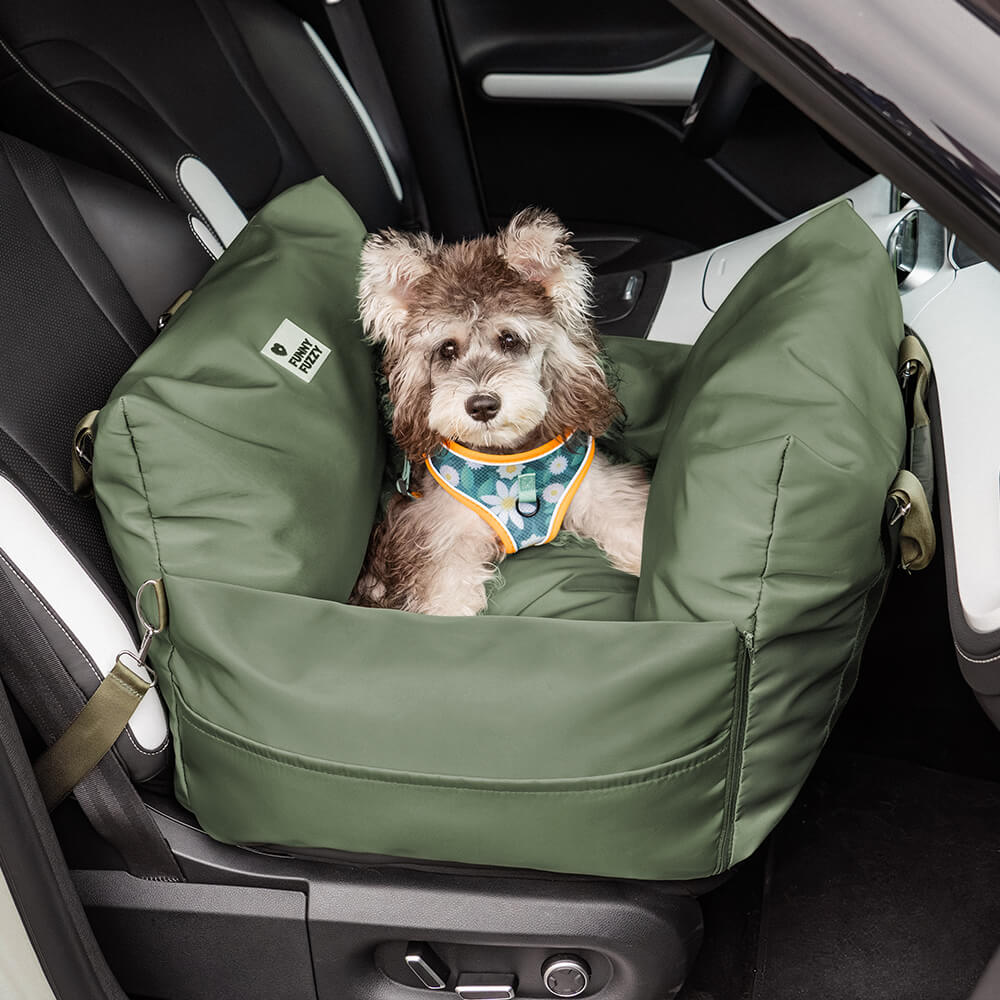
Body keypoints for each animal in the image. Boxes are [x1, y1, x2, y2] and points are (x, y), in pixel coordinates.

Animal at [352, 209, 648, 616]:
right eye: (446, 349)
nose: (482, 405)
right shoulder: (439, 538)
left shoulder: (604, 492)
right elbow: (446, 598)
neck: (510, 459)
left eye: (509, 339)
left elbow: (635, 528)